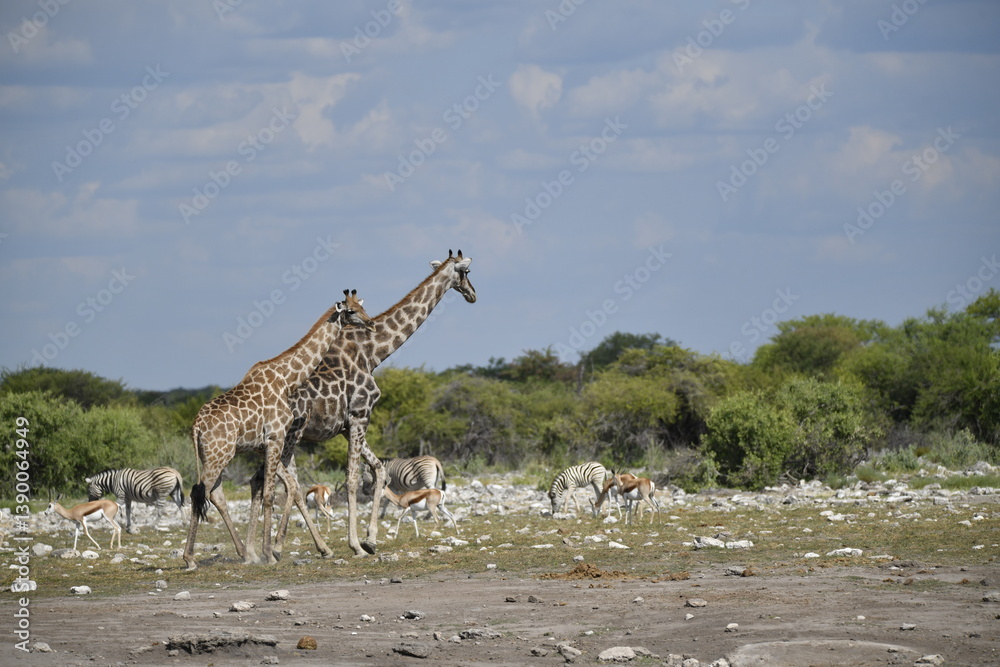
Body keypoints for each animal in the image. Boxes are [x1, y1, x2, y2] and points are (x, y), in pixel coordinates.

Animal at [182, 290, 374, 570]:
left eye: (362, 307)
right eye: (350, 311)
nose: (370, 323)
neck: (287, 379)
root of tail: (196, 426)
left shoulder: (268, 443)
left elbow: (273, 490)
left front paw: (266, 551)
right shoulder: (275, 437)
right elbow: (270, 494)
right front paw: (269, 553)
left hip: (215, 456)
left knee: (214, 493)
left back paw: (242, 553)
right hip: (219, 454)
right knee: (199, 492)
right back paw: (190, 558)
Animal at [258, 249, 476, 557]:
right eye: (466, 272)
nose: (472, 294)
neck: (373, 352)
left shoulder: (347, 425)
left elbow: (379, 471)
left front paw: (370, 539)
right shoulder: (360, 414)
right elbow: (351, 479)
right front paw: (356, 545)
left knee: (274, 482)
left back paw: (278, 547)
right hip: (288, 436)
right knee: (285, 481)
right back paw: (281, 547)